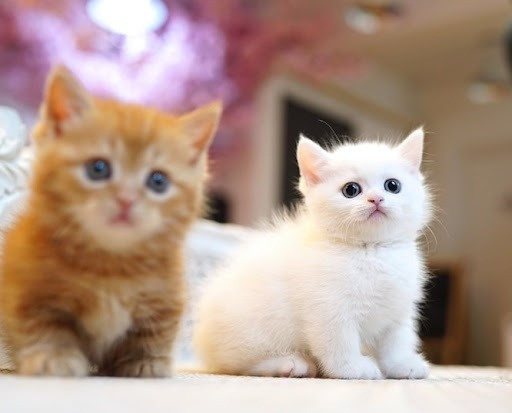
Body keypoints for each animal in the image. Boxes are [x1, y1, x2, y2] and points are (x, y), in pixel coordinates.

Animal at [0, 65, 222, 376]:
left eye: (158, 181)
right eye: (98, 168)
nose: (126, 200)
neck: (112, 267)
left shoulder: (167, 296)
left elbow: (154, 333)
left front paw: (146, 363)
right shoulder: (29, 288)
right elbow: (43, 324)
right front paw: (54, 357)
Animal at [192, 127, 432, 378]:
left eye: (392, 185)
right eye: (351, 189)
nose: (376, 198)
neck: (371, 250)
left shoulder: (398, 307)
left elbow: (397, 340)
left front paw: (402, 365)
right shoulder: (328, 307)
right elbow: (339, 342)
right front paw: (353, 368)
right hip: (252, 329)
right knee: (238, 364)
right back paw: (290, 364)